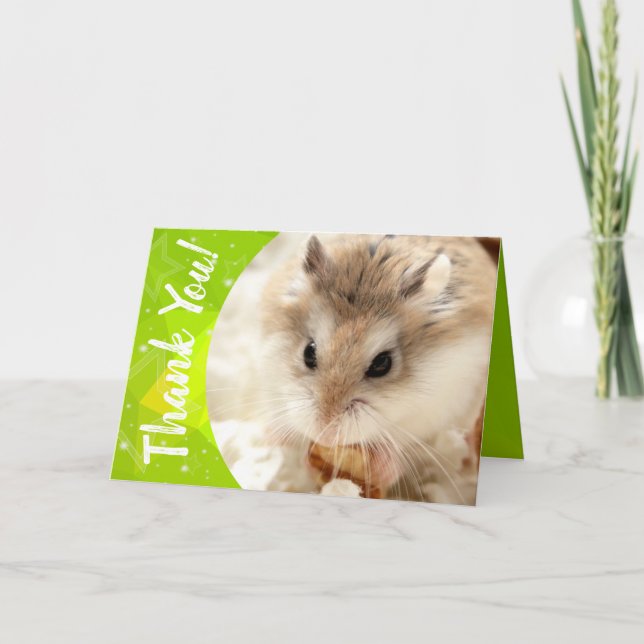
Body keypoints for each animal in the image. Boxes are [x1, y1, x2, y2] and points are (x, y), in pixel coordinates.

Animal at [259, 234, 497, 504]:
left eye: (382, 364)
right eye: (308, 352)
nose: (325, 435)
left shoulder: (444, 407)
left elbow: (405, 446)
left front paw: (380, 466)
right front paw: (280, 442)